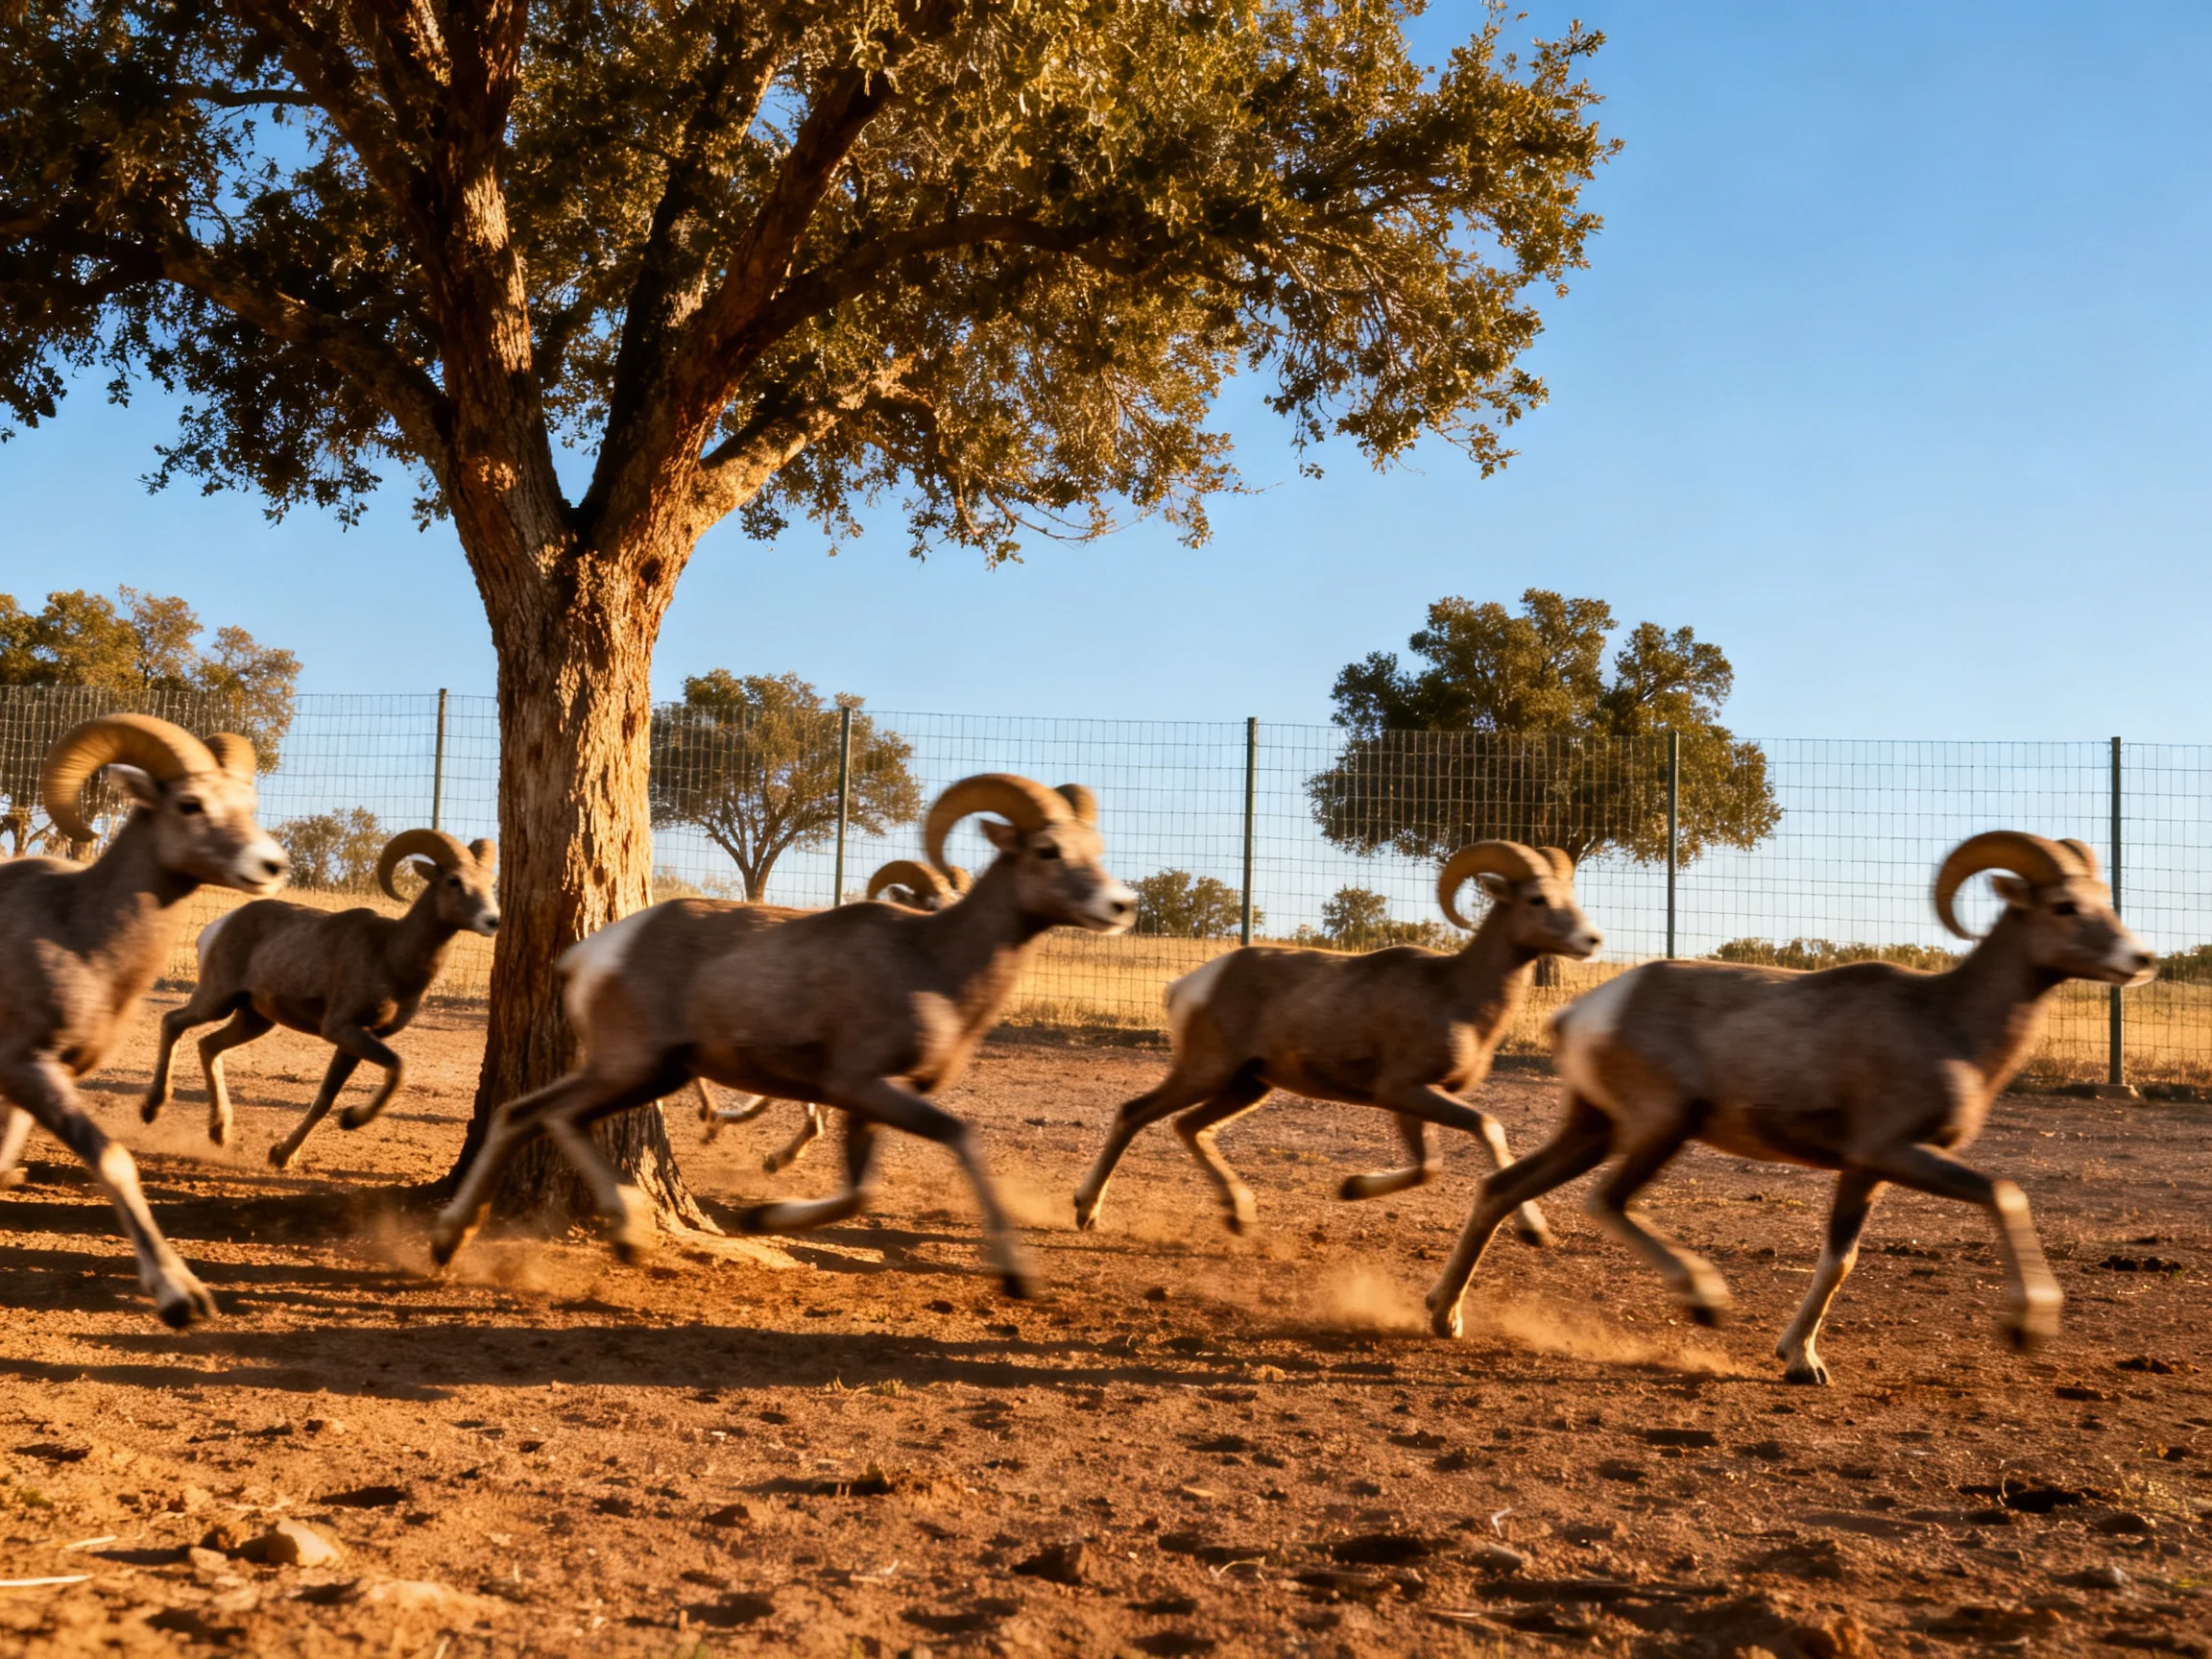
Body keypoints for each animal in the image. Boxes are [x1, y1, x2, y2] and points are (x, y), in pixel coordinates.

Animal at [0, 715, 287, 1326]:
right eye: (190, 804)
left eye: (248, 804)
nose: (272, 866)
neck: (77, 938)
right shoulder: (27, 1069)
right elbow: (114, 1160)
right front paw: (181, 1297)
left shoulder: (38, 1082)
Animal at [140, 830, 499, 1168]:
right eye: (454, 881)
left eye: (490, 883)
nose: (492, 920)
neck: (391, 955)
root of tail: (218, 927)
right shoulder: (342, 1029)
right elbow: (398, 1068)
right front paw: (351, 1120)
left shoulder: (355, 1041)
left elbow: (326, 1098)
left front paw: (282, 1155)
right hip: (217, 1000)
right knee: (172, 1022)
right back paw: (151, 1109)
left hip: (255, 1019)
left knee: (208, 1046)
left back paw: (219, 1131)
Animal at [1073, 841, 1600, 1240]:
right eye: (1536, 899)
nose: (1591, 940)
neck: (1457, 994)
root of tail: (1190, 986)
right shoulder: (1407, 1090)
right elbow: (1488, 1128)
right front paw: (1534, 1231)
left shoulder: (1409, 1101)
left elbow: (1427, 1167)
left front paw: (1350, 1188)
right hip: (1207, 1072)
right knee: (1135, 1113)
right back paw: (1086, 1211)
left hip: (1247, 1086)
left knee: (1190, 1127)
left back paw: (1238, 1215)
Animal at [1422, 831, 2154, 1385]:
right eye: (2064, 906)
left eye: (2104, 902)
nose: (2140, 958)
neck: (1947, 1023)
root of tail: (1588, 1013)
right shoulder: (1894, 1153)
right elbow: (2004, 1194)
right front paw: (2027, 1327)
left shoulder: (1864, 1172)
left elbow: (1840, 1261)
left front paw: (1799, 1360)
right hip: (1661, 1128)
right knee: (1606, 1201)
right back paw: (1705, 1300)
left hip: (1592, 1130)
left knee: (1503, 1189)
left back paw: (1443, 1317)